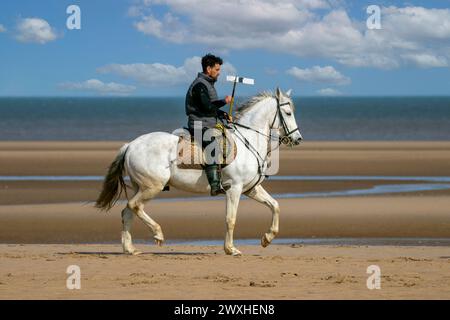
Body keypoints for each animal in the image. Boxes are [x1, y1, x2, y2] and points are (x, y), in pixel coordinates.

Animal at [96, 87, 304, 255]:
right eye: (287, 113)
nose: (298, 139)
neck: (248, 141)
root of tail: (130, 145)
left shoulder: (250, 189)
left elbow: (275, 206)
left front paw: (267, 238)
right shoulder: (234, 189)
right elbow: (231, 219)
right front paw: (231, 249)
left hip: (141, 187)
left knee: (128, 211)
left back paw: (130, 249)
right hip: (152, 186)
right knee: (135, 206)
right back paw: (158, 234)